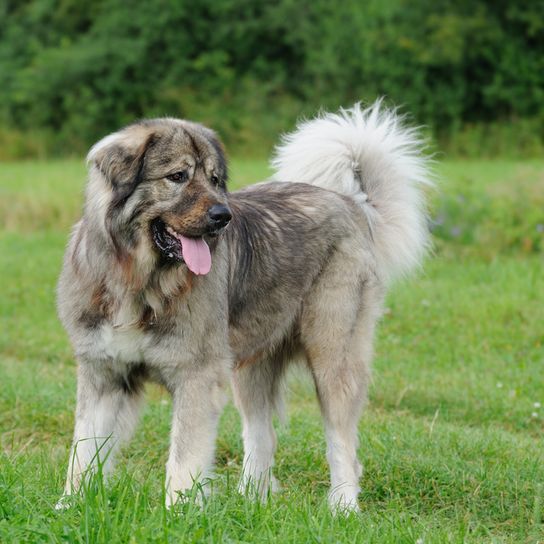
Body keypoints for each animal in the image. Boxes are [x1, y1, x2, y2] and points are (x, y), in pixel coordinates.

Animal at [55, 101, 432, 510]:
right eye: (178, 176)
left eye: (214, 179)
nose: (223, 216)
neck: (140, 282)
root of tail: (351, 203)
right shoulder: (104, 374)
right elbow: (83, 451)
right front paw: (69, 507)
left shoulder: (196, 376)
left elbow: (183, 458)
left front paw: (177, 513)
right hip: (251, 365)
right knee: (261, 436)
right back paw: (251, 502)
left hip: (333, 356)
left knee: (341, 443)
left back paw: (343, 507)